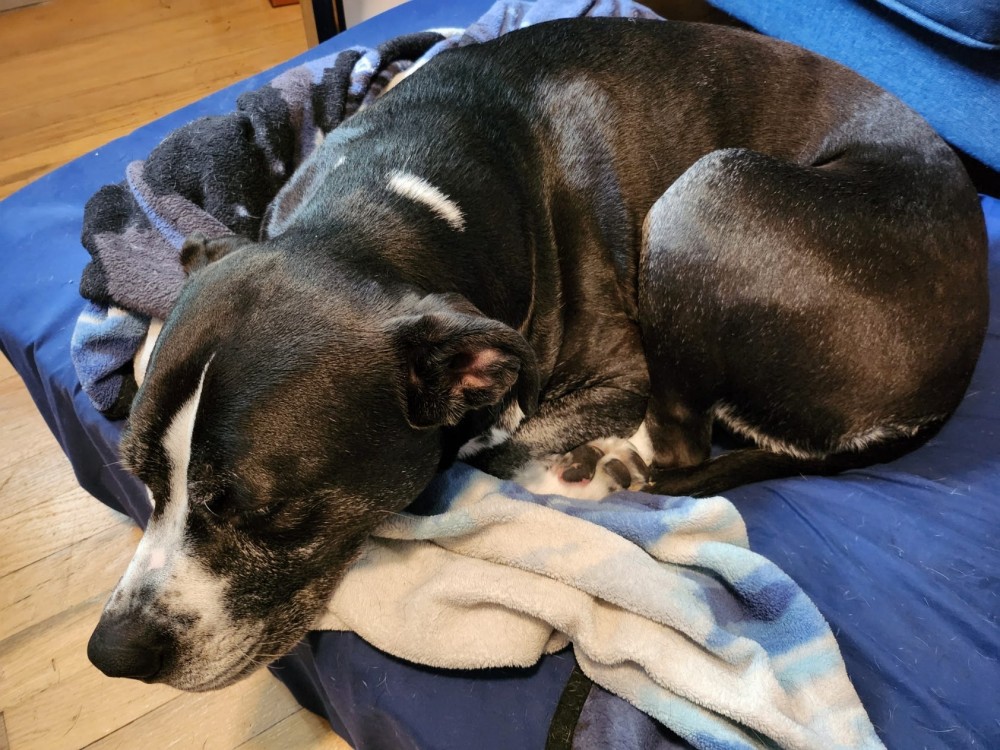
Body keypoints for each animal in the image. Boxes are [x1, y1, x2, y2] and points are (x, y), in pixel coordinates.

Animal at [90, 17, 988, 692]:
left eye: (275, 515)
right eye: (138, 476)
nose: (113, 653)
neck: (385, 207)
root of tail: (952, 381)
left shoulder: (617, 371)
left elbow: (508, 438)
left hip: (709, 192)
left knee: (679, 443)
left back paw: (600, 471)